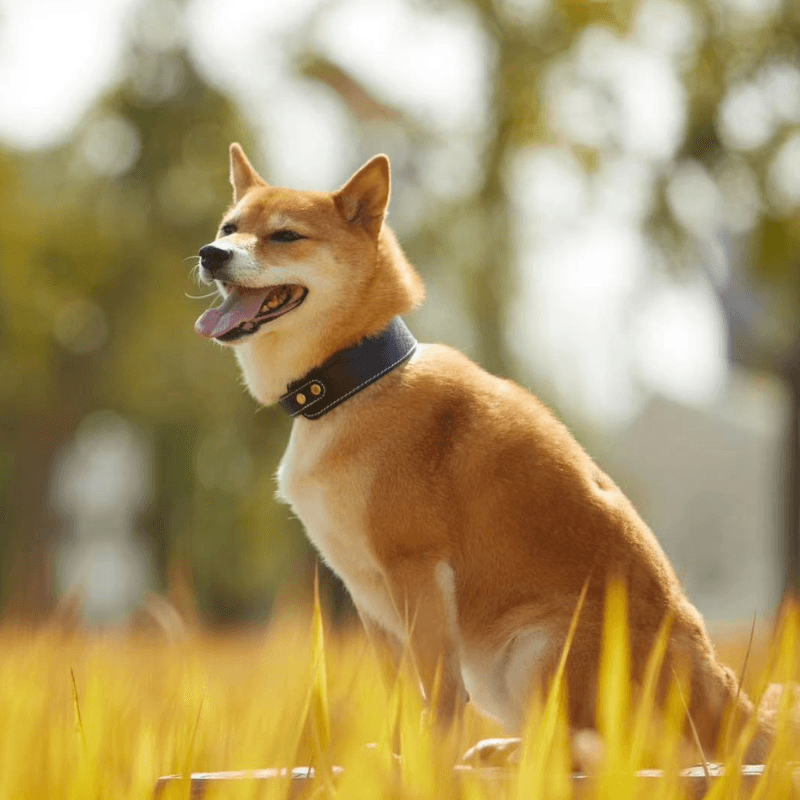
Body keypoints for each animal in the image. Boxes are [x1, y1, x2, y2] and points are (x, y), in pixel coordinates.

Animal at [195, 142, 788, 764]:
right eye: (229, 228)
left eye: (285, 235)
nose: (212, 254)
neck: (354, 382)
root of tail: (723, 692)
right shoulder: (367, 595)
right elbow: (399, 695)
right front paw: (393, 760)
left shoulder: (416, 571)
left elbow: (439, 694)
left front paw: (430, 765)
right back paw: (499, 749)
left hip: (538, 646)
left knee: (601, 754)